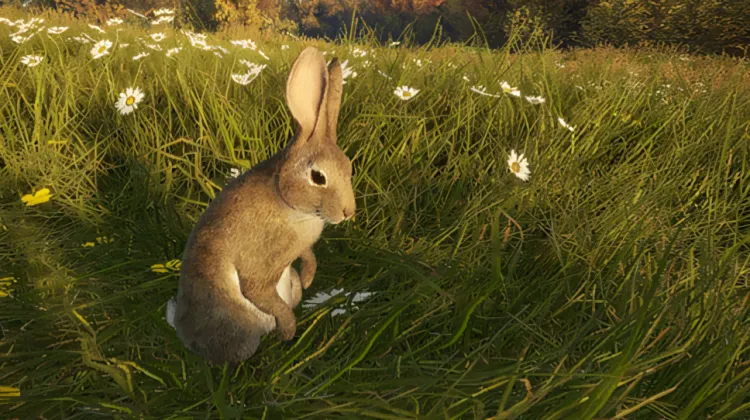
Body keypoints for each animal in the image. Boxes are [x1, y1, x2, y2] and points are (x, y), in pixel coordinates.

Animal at [168, 46, 356, 365]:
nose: (348, 212)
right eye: (318, 177)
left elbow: (308, 255)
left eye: (349, 168)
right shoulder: (260, 266)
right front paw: (289, 331)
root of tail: (179, 326)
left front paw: (309, 280)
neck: (288, 201)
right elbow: (259, 290)